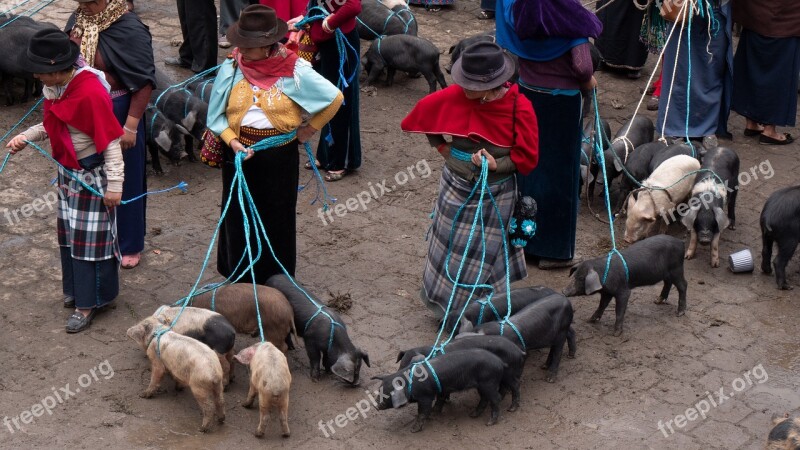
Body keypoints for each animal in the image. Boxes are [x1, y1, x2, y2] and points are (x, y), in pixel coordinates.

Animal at [372, 348, 504, 432]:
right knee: (484, 399)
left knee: (496, 399)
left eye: (387, 394)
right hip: (482, 385)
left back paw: (489, 423)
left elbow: (422, 411)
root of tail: (500, 362)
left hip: (489, 382)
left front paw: (413, 430)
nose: (376, 405)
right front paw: (434, 413)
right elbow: (438, 402)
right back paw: (473, 415)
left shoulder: (425, 396)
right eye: (380, 389)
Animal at [394, 334, 524, 412]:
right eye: (400, 366)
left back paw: (512, 408)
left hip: (510, 373)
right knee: (504, 387)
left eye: (409, 368)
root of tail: (519, 351)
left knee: (515, 385)